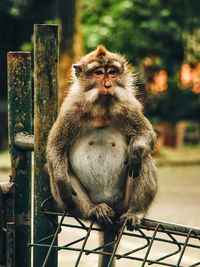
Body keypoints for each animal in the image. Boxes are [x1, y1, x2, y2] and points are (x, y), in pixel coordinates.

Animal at [46, 45, 157, 266]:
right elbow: (55, 149)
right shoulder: (69, 110)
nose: (107, 85)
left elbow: (146, 136)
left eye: (112, 72)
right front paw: (62, 180)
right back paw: (93, 210)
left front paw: (136, 149)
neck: (101, 107)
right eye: (98, 73)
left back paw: (136, 211)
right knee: (59, 170)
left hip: (123, 204)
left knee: (142, 161)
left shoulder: (129, 105)